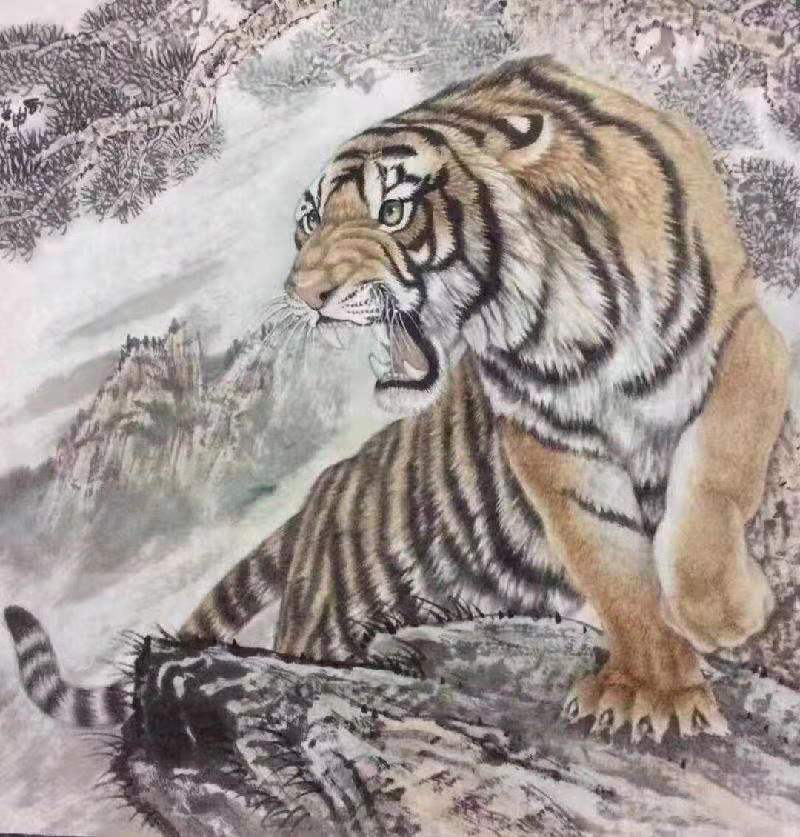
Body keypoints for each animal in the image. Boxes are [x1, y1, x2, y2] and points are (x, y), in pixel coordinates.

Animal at [6, 56, 789, 743]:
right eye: (311, 219)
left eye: (392, 210)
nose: (304, 294)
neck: (559, 315)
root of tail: (316, 501)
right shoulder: (547, 432)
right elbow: (612, 561)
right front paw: (653, 689)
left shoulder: (742, 333)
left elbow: (717, 466)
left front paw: (721, 616)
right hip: (327, 624)